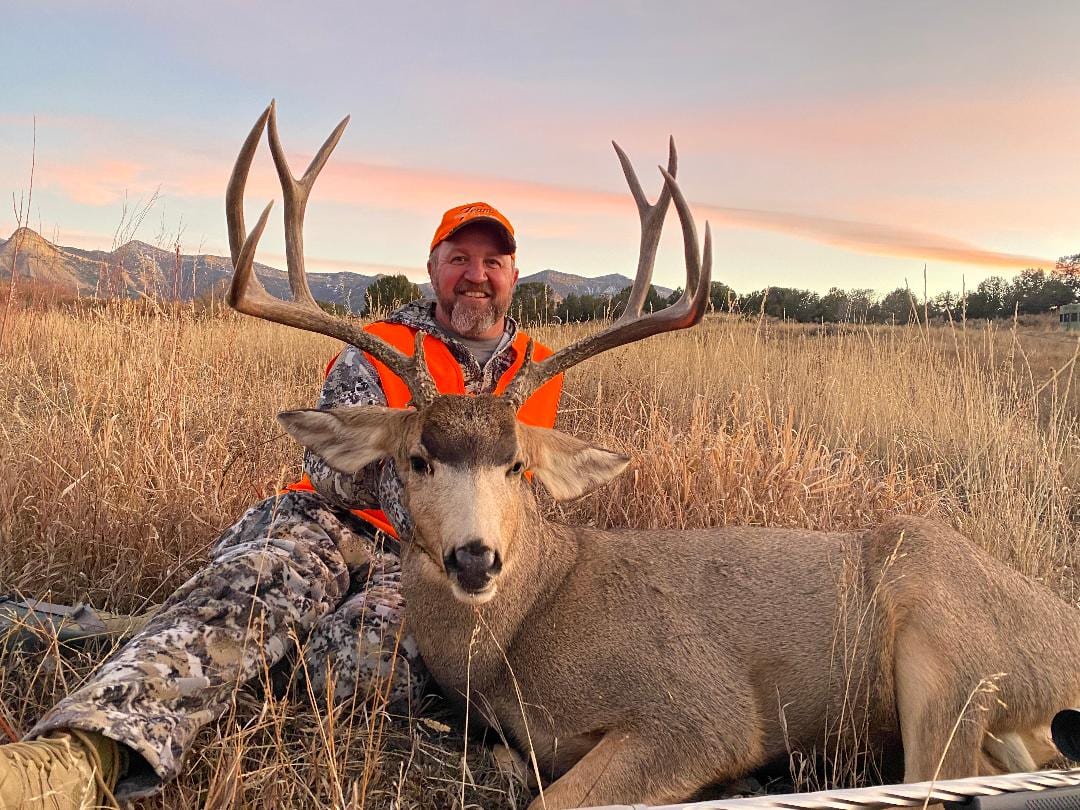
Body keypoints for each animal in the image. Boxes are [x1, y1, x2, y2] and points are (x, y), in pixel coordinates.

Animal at [224, 103, 1080, 809]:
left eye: (517, 466)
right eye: (417, 460)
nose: (476, 558)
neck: (529, 627)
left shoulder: (701, 712)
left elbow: (557, 799)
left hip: (943, 633)